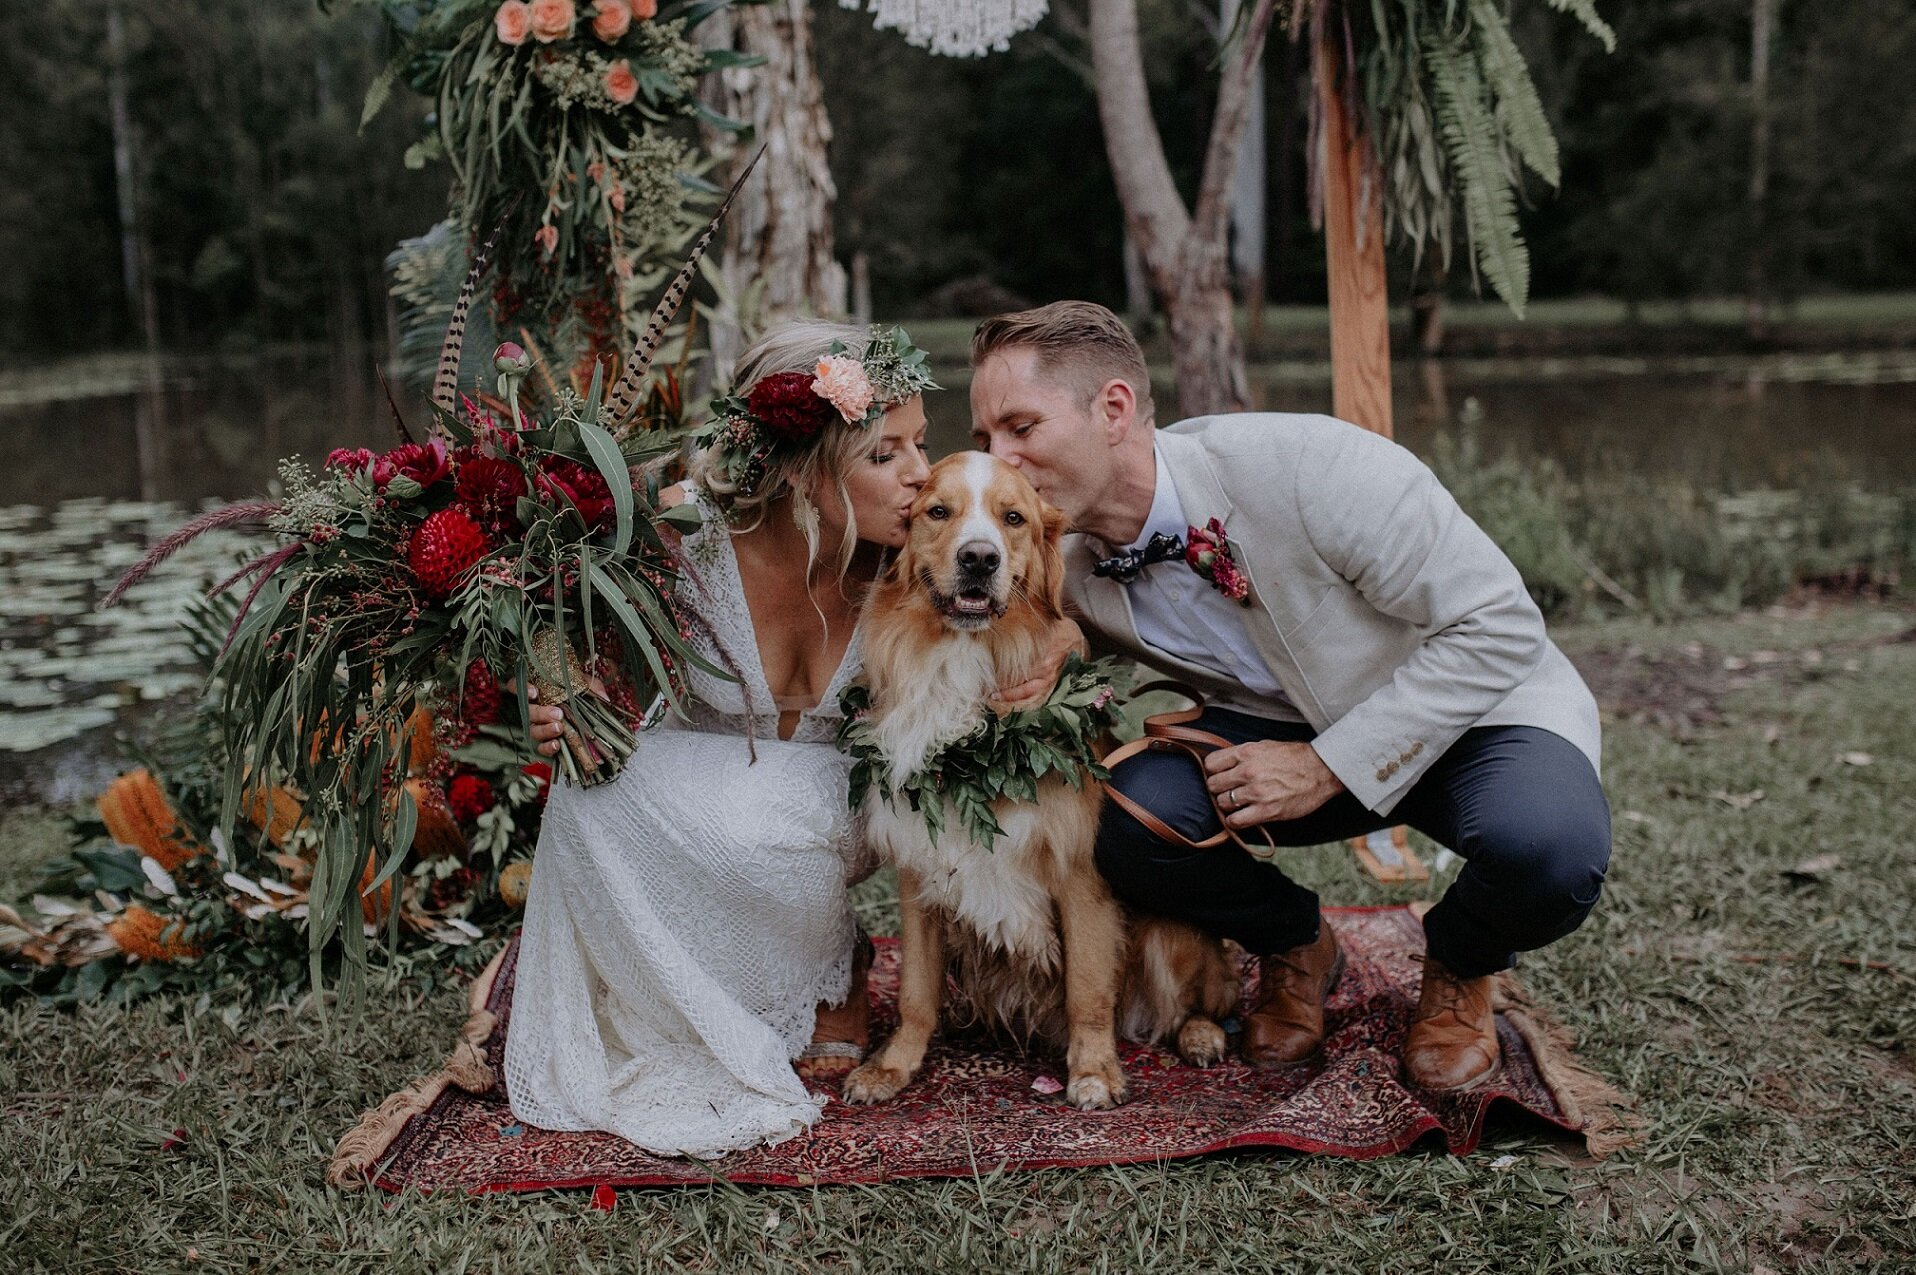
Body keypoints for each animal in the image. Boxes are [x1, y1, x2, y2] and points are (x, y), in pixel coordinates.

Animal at [843, 452, 1233, 1112]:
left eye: (1013, 519)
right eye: (937, 511)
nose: (979, 558)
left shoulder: (1080, 875)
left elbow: (1087, 989)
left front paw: (1095, 1070)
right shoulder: (920, 871)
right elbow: (915, 989)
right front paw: (893, 1065)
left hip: (1172, 931)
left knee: (1205, 995)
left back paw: (1201, 1034)